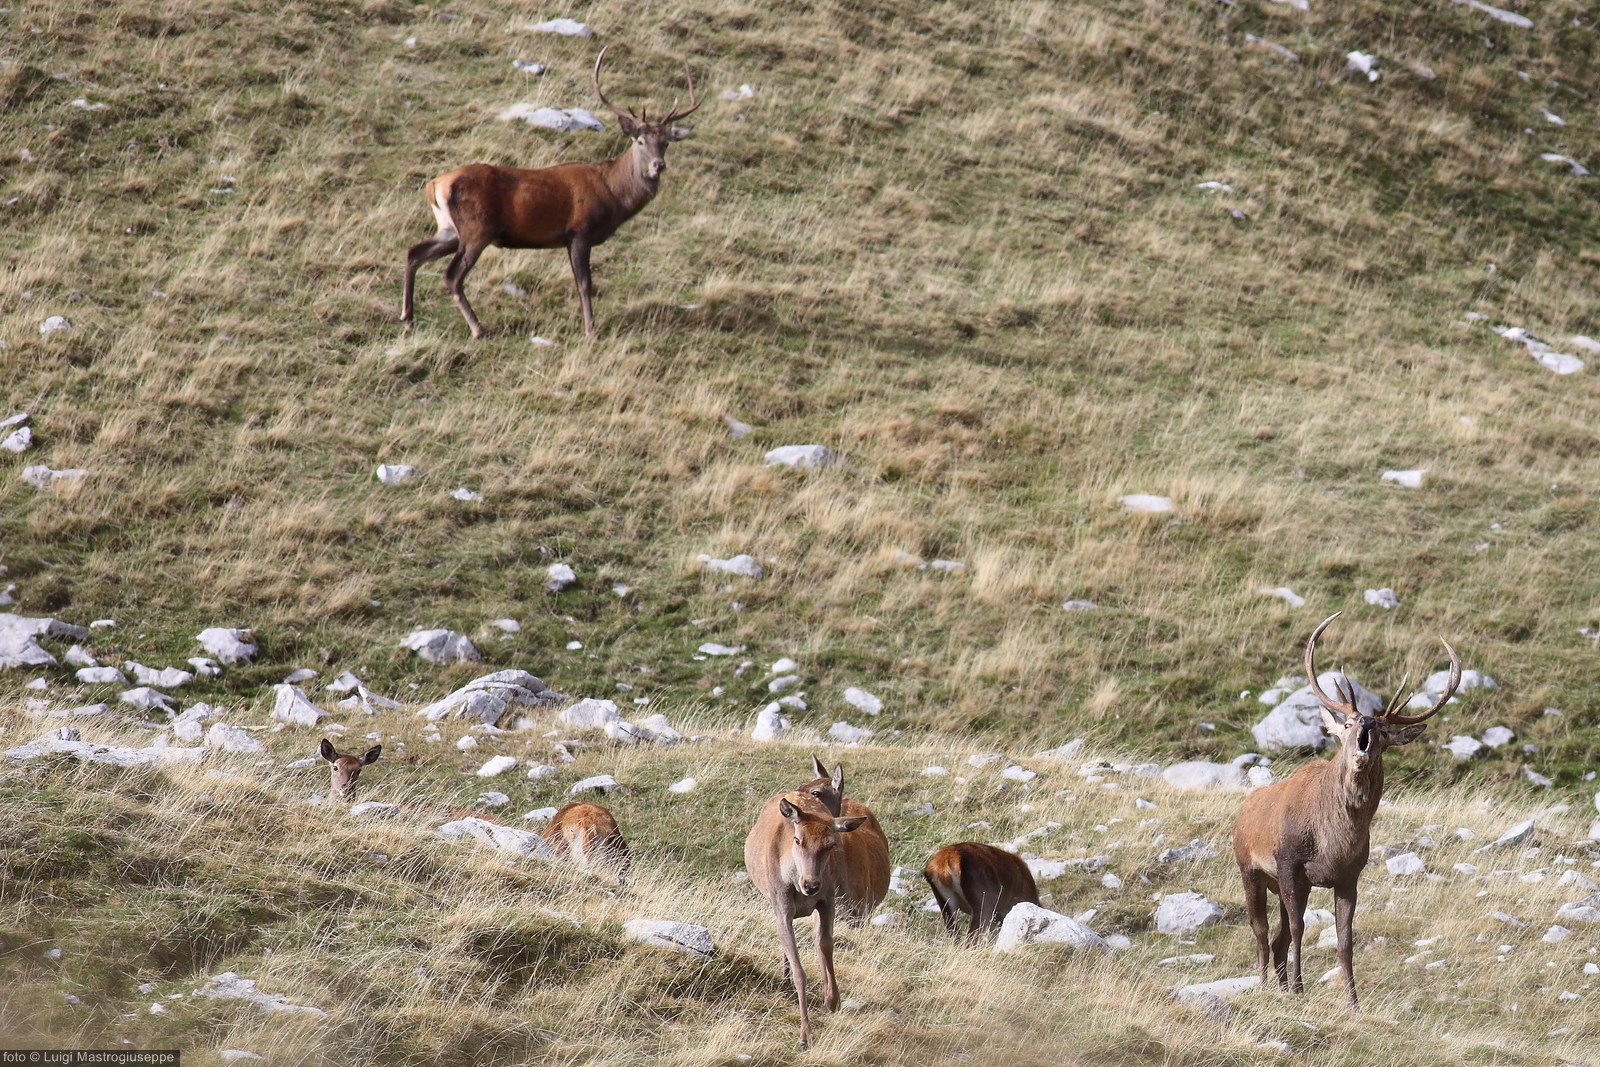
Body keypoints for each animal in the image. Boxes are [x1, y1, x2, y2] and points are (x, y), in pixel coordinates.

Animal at [401, 46, 700, 340]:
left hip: (449, 229)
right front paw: (591, 331)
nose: (658, 165)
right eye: (639, 141)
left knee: (414, 252)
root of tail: (436, 184)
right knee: (452, 275)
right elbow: (584, 284)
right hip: (477, 229)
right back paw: (477, 329)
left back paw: (408, 318)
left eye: (665, 143)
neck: (612, 193)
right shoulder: (579, 231)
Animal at [744, 791, 873, 1049]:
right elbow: (799, 971)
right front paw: (805, 1036)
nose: (811, 885)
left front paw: (832, 999)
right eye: (797, 840)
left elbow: (825, 944)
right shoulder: (781, 906)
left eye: (830, 845)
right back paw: (784, 979)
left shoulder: (828, 898)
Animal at [1231, 612, 1460, 1009]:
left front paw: (1353, 1001)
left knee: (1276, 938)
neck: (1333, 844)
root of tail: (1242, 813)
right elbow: (1299, 929)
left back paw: (1279, 985)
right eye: (1350, 723)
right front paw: (1300, 988)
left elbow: (1345, 940)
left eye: (1383, 731)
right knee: (1261, 932)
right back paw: (1264, 984)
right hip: (1251, 868)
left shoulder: (1349, 876)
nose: (1366, 725)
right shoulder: (1289, 863)